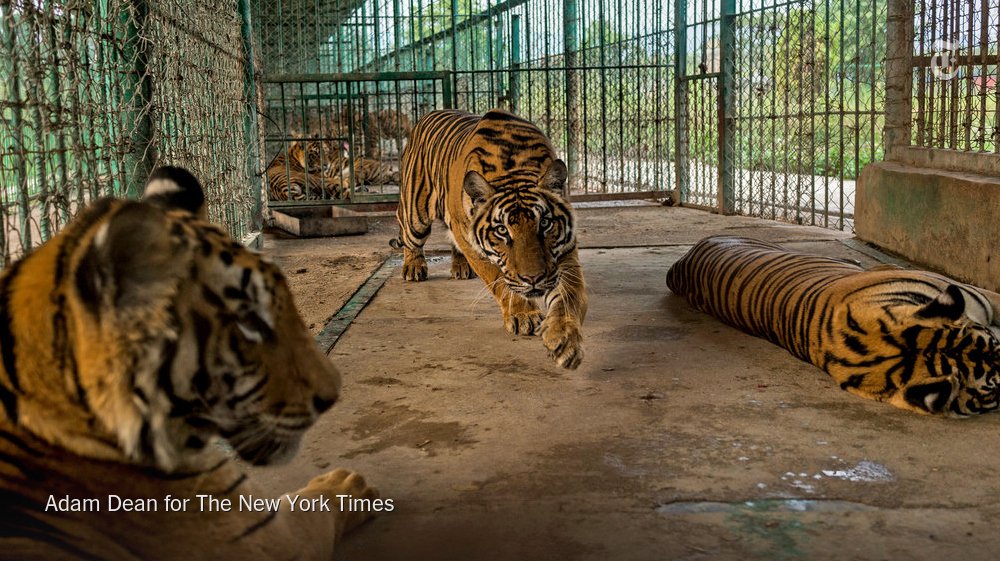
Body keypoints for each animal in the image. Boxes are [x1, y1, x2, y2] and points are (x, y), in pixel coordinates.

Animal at [394, 109, 587, 370]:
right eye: (502, 231)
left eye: (545, 223)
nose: (533, 279)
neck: (514, 169)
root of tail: (430, 113)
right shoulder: (473, 246)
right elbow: (500, 281)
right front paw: (523, 315)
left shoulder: (564, 252)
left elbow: (569, 295)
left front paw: (564, 339)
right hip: (416, 213)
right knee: (409, 234)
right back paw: (413, 267)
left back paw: (460, 267)